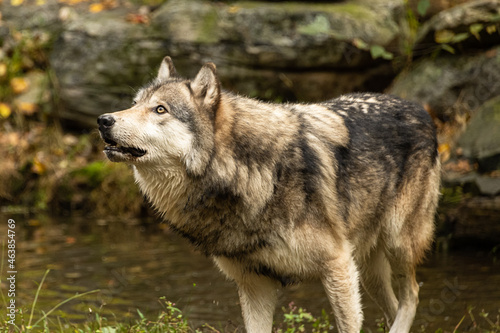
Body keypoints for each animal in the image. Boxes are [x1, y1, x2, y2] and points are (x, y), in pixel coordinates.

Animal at [96, 55, 438, 330]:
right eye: (135, 104)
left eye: (160, 109)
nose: (103, 120)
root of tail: (417, 107)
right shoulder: (255, 284)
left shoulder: (337, 266)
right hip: (367, 271)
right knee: (395, 305)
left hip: (396, 244)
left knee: (412, 296)